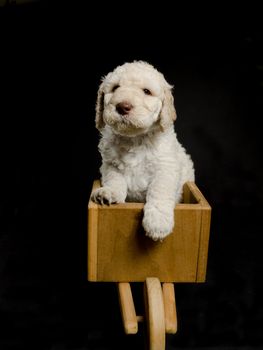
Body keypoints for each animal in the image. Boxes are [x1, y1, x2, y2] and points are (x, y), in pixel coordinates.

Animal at [92, 60, 195, 241]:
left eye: (147, 91)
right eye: (115, 88)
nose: (123, 106)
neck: (135, 139)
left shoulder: (166, 167)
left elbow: (159, 189)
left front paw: (157, 222)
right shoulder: (110, 164)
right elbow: (114, 179)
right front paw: (109, 193)